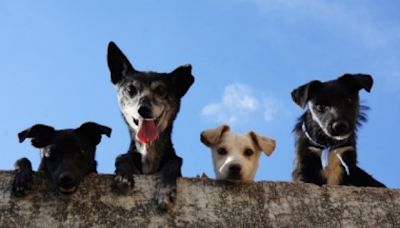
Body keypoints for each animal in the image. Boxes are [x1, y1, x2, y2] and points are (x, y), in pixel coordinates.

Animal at [105, 41, 195, 208]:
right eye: (131, 89)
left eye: (160, 89)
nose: (143, 109)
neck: (148, 150)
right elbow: (123, 158)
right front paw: (124, 175)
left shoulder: (174, 161)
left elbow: (174, 163)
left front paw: (165, 191)